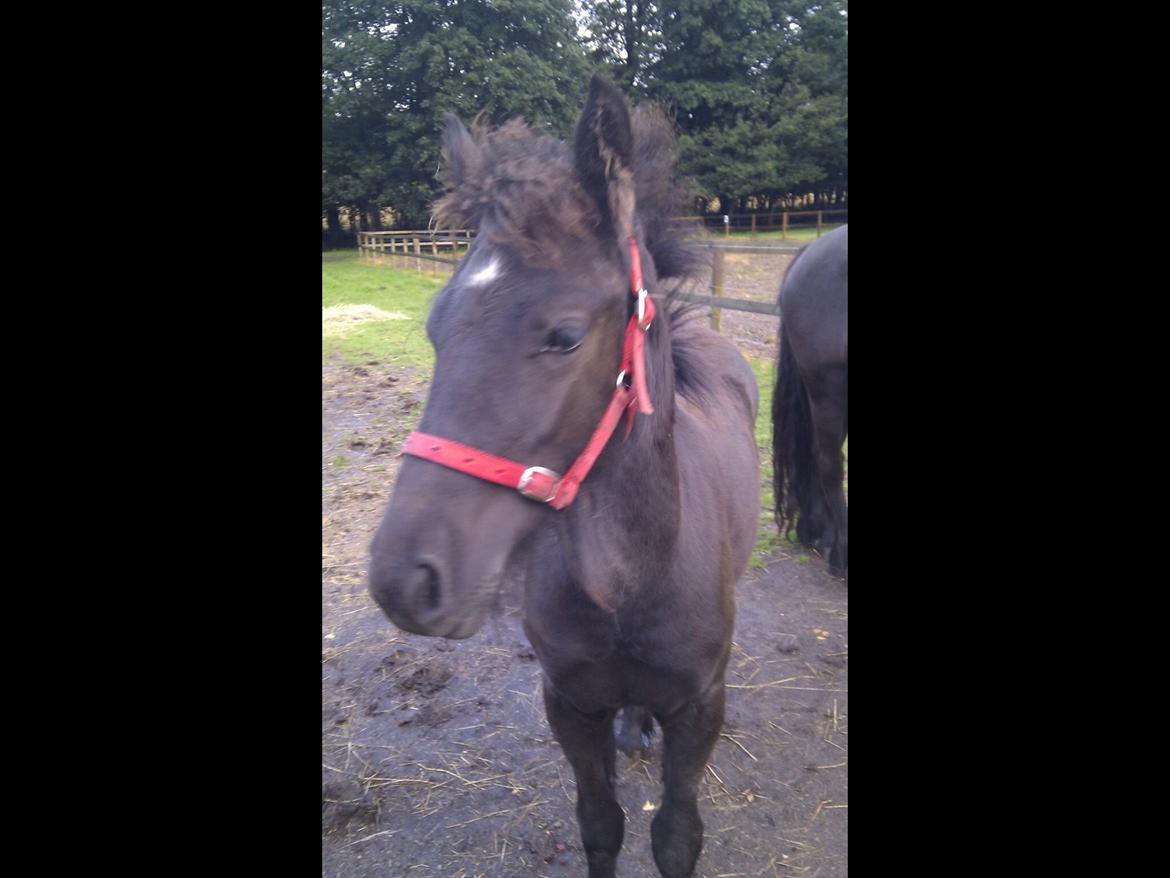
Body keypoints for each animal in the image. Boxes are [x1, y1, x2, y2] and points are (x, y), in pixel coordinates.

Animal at [368, 75, 760, 877]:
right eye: (435, 327)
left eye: (566, 335)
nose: (405, 581)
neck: (632, 581)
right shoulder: (571, 706)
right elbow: (600, 823)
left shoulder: (700, 708)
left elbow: (677, 835)